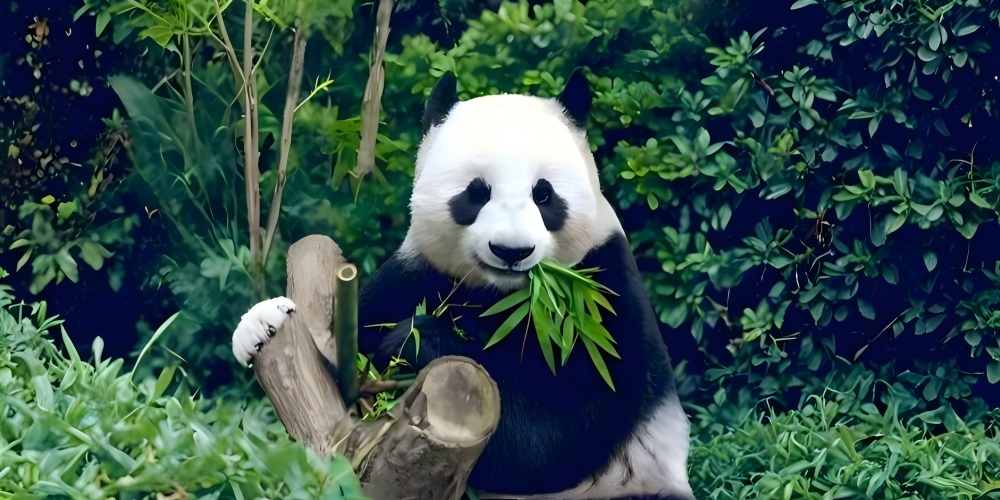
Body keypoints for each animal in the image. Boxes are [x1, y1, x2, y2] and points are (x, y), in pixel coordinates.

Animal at [232, 71, 694, 500]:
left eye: (544, 194)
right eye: (477, 193)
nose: (511, 250)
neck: (503, 295)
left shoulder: (601, 301)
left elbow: (558, 436)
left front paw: (415, 340)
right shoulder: (418, 272)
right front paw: (263, 323)